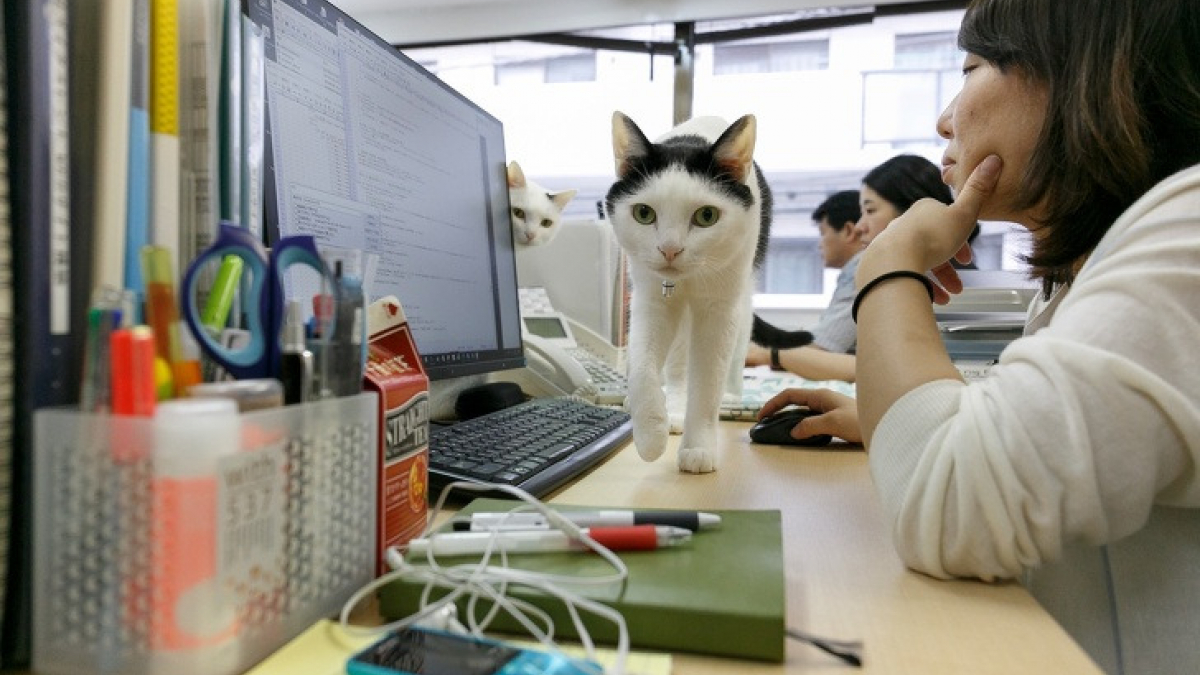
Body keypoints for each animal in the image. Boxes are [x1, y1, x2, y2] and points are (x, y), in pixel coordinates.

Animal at [604, 111, 792, 473]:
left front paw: (699, 447)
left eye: (707, 216)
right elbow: (643, 369)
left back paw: (732, 395)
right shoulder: (652, 299)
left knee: (738, 344)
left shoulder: (719, 308)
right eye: (643, 213)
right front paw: (650, 435)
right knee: (677, 365)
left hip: (743, 292)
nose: (669, 250)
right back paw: (674, 410)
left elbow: (707, 382)